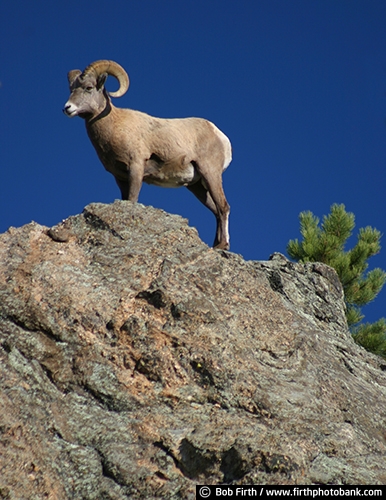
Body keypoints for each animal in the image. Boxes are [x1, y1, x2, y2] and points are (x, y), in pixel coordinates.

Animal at [63, 60, 232, 250]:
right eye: (71, 89)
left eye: (89, 87)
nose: (67, 108)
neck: (113, 126)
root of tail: (220, 136)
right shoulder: (120, 178)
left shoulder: (136, 167)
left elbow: (133, 199)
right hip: (197, 186)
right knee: (216, 211)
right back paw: (215, 245)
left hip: (210, 173)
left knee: (223, 207)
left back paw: (223, 245)